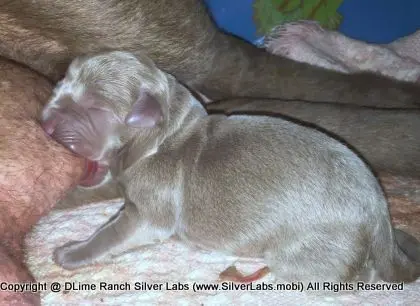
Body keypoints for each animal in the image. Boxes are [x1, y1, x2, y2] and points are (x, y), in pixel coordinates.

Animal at [40, 51, 420, 284]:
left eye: (95, 108)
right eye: (61, 83)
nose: (45, 121)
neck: (163, 134)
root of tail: (380, 211)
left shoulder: (148, 213)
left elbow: (111, 234)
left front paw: (71, 252)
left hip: (308, 254)